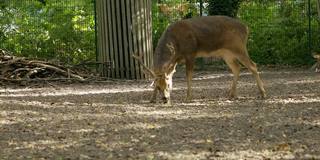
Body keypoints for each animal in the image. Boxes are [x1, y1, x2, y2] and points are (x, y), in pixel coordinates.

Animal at [134, 15, 266, 105]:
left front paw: (188, 97)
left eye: (169, 84)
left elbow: (188, 75)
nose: (165, 99)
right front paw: (151, 99)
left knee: (253, 65)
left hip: (238, 46)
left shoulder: (191, 53)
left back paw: (263, 93)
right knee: (237, 68)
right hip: (226, 53)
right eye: (157, 87)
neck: (176, 45)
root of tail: (246, 28)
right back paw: (232, 94)